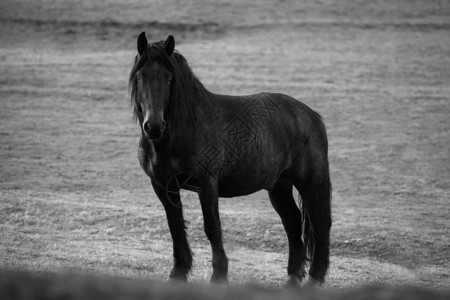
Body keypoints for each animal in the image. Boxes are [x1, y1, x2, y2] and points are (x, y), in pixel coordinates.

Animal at [128, 32, 332, 286]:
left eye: (169, 78)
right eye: (140, 76)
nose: (154, 126)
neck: (183, 130)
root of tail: (310, 116)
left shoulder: (207, 184)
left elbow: (212, 228)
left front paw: (219, 275)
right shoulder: (163, 186)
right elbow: (175, 226)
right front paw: (178, 272)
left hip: (311, 183)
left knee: (320, 224)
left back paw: (314, 278)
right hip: (279, 186)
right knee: (293, 222)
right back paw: (293, 278)